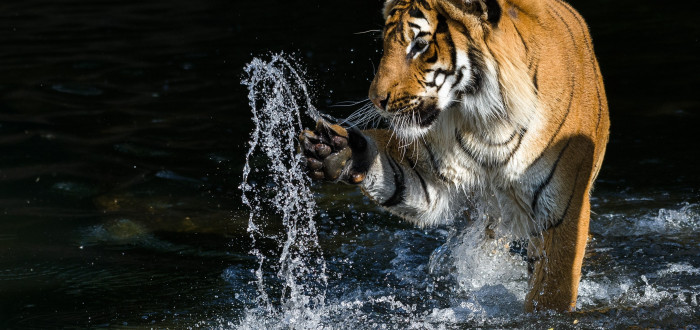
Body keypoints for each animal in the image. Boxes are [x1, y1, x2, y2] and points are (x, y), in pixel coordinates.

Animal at [298, 0, 608, 312]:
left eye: (420, 45)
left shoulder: (561, 212)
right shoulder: (430, 173)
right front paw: (336, 151)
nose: (377, 100)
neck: (488, 125)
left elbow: (554, 290)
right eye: (385, 44)